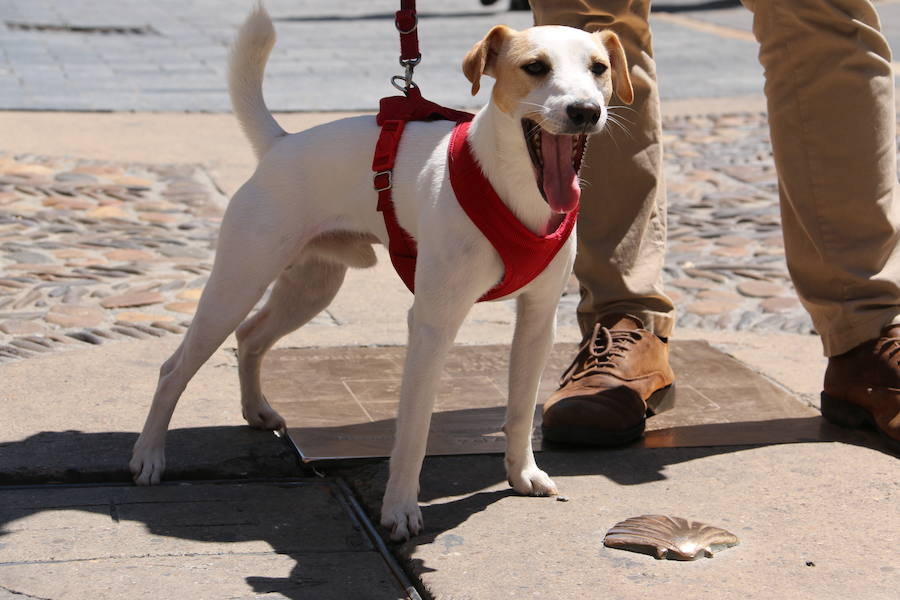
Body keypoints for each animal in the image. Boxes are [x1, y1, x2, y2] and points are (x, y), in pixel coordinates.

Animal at [130, 3, 632, 540]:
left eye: (599, 68)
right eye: (535, 67)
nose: (585, 111)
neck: (515, 189)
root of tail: (281, 144)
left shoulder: (538, 320)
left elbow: (519, 408)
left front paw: (521, 473)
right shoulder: (432, 325)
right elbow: (414, 429)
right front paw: (399, 509)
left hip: (311, 287)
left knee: (251, 337)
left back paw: (256, 410)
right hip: (238, 282)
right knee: (175, 368)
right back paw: (149, 457)